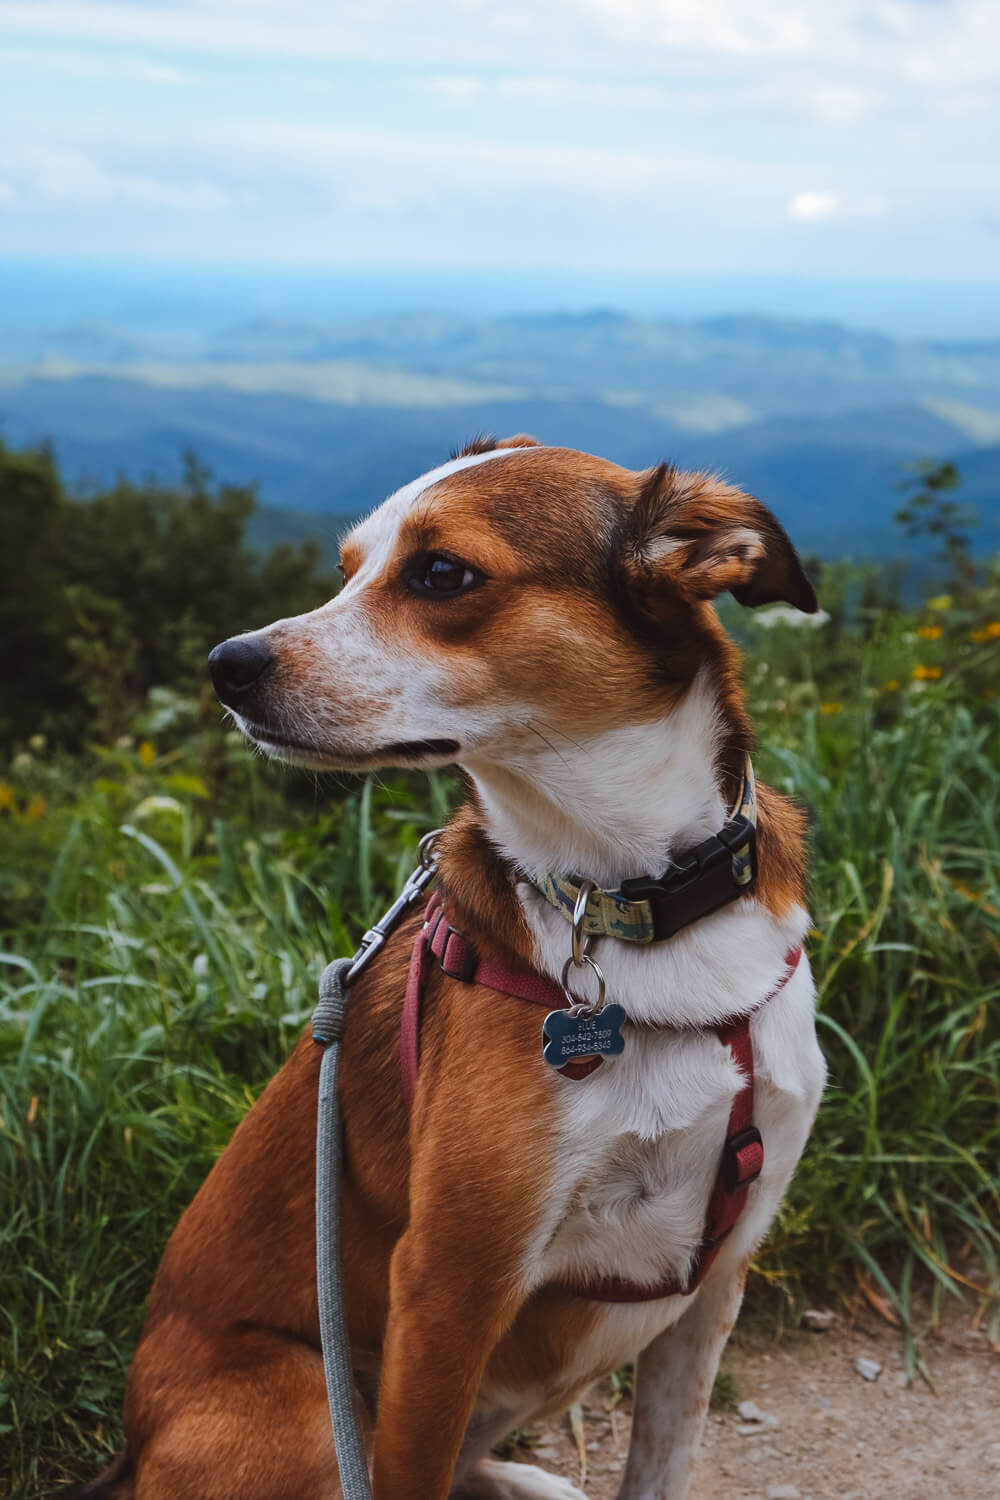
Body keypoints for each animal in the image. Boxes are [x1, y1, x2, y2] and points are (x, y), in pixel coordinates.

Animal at [78, 438, 827, 1500]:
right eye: (348, 569)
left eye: (441, 573)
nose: (226, 665)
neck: (630, 902)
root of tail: (133, 1446)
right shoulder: (450, 1288)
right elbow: (411, 1470)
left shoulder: (718, 1278)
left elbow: (660, 1467)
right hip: (320, 1410)